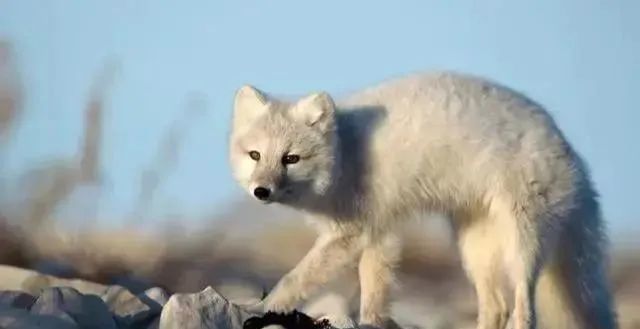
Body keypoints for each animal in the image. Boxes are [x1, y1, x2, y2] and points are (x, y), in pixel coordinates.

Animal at [228, 72, 616, 328]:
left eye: (290, 159)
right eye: (255, 155)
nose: (261, 191)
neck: (345, 155)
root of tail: (568, 150)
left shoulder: (352, 233)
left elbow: (295, 278)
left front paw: (261, 308)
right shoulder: (379, 232)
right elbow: (374, 290)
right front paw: (372, 321)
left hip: (521, 243)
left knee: (524, 309)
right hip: (474, 249)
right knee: (496, 307)